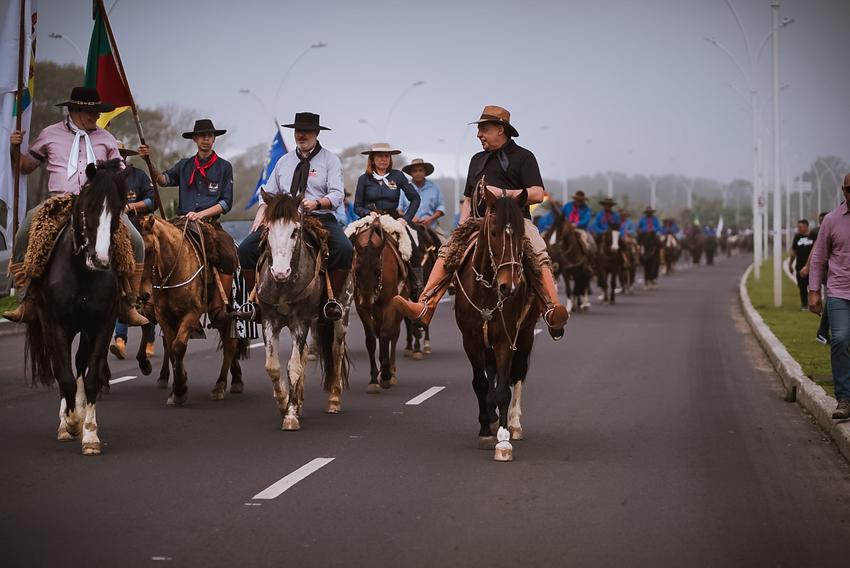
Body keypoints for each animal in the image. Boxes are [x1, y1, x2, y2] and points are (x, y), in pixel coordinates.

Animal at [26, 161, 127, 458]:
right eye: (88, 206)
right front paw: (69, 422)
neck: (82, 272)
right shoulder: (57, 325)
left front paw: (90, 434)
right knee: (63, 369)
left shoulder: (102, 325)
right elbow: (65, 377)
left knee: (81, 363)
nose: (101, 260)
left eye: (118, 209)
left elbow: (90, 377)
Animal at [137, 213, 247, 404]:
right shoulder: (164, 317)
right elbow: (171, 348)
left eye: (150, 250)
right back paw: (235, 379)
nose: (143, 295)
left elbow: (178, 346)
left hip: (225, 311)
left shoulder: (191, 314)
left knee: (229, 343)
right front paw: (177, 389)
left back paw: (221, 385)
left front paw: (180, 389)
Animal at [253, 189, 350, 428]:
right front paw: (285, 404)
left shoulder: (300, 321)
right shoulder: (269, 321)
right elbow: (273, 366)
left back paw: (334, 400)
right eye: (267, 228)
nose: (280, 272)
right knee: (306, 352)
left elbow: (294, 365)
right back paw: (300, 401)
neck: (283, 284)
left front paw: (290, 416)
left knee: (336, 350)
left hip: (341, 315)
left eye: (295, 231)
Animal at [348, 215, 408, 392]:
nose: (367, 300)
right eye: (357, 270)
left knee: (393, 334)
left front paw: (387, 375)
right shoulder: (361, 307)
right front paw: (374, 378)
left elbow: (386, 335)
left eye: (377, 270)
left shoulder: (390, 304)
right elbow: (371, 340)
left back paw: (391, 371)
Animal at [450, 189, 536, 464]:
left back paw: (514, 424)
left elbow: (503, 389)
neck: (487, 290)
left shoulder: (505, 340)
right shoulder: (471, 340)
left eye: (521, 233)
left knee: (517, 374)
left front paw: (503, 441)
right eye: (495, 232)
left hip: (526, 335)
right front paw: (486, 430)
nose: (510, 286)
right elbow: (481, 383)